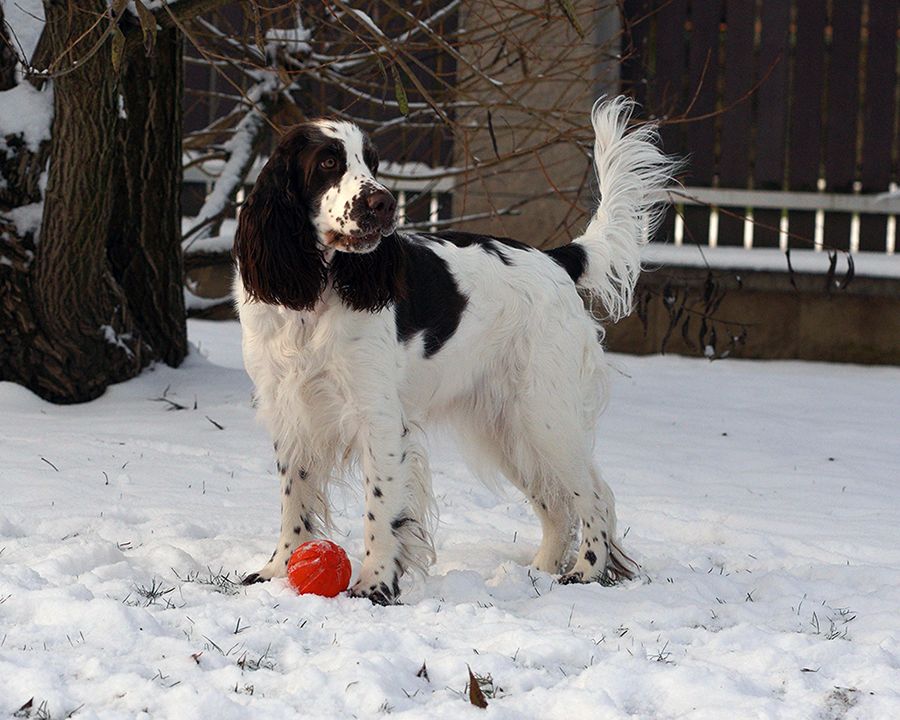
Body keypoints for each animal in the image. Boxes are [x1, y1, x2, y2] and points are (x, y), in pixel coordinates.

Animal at [232, 95, 676, 600]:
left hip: (546, 416)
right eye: (328, 162)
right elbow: (295, 501)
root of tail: (556, 259)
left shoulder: (378, 417)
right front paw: (277, 570)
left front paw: (375, 584)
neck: (316, 294)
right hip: (507, 429)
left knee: (596, 497)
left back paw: (585, 571)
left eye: (373, 163)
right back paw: (541, 569)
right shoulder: (290, 412)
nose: (383, 202)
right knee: (557, 505)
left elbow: (380, 507)